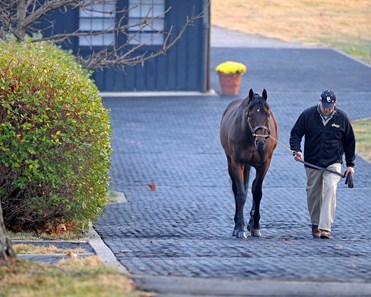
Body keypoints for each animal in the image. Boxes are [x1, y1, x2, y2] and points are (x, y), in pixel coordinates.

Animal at [219, 88, 278, 238]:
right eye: (250, 115)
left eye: (267, 114)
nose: (261, 142)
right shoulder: (237, 162)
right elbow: (240, 193)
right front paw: (239, 228)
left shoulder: (264, 164)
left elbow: (257, 192)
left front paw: (256, 226)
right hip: (231, 161)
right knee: (237, 189)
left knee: (252, 186)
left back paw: (251, 222)